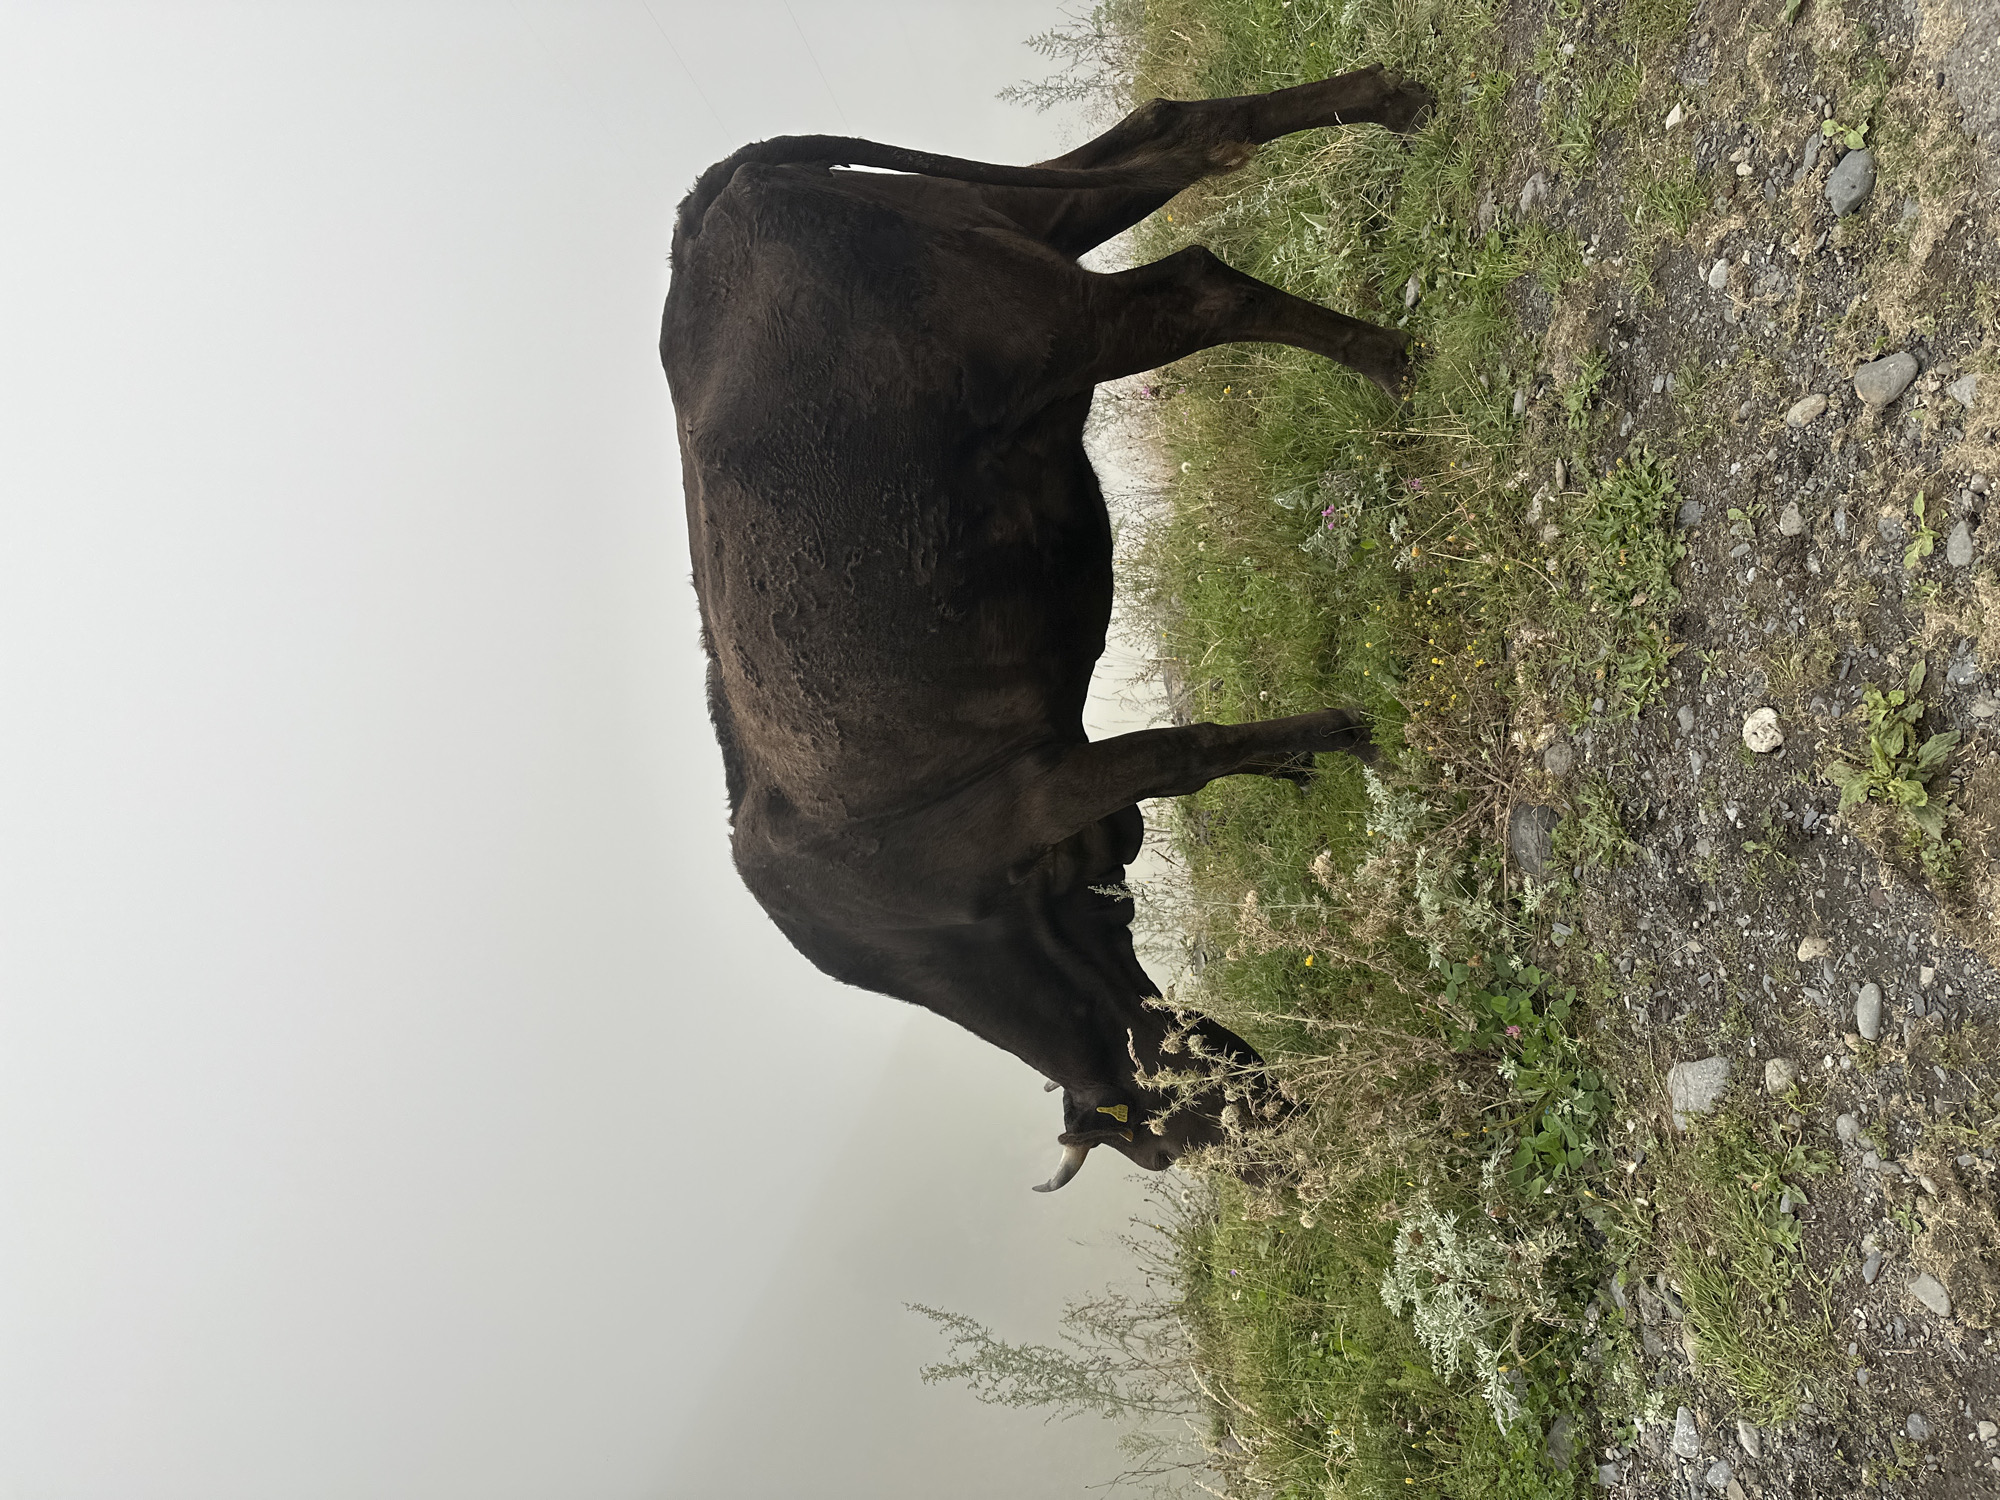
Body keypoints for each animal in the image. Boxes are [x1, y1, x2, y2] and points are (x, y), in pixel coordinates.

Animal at [661, 65, 1432, 1193]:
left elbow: (1185, 751)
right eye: (1174, 1150)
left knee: (1197, 287)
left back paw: (1392, 362)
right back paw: (1392, 103)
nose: (1288, 1171)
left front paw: (1343, 731)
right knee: (1176, 136)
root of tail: (712, 205)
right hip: (1016, 226)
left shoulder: (1033, 794)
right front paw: (1302, 753)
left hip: (1043, 322)